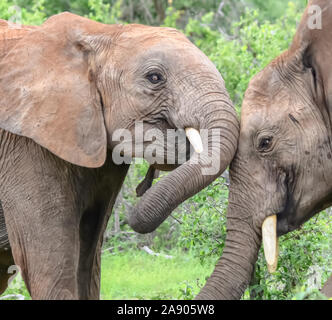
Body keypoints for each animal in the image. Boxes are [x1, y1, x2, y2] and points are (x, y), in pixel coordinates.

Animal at [0, 11, 240, 298]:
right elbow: (51, 270)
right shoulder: (25, 144)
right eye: (154, 78)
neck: (100, 33)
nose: (136, 208)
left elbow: (89, 259)